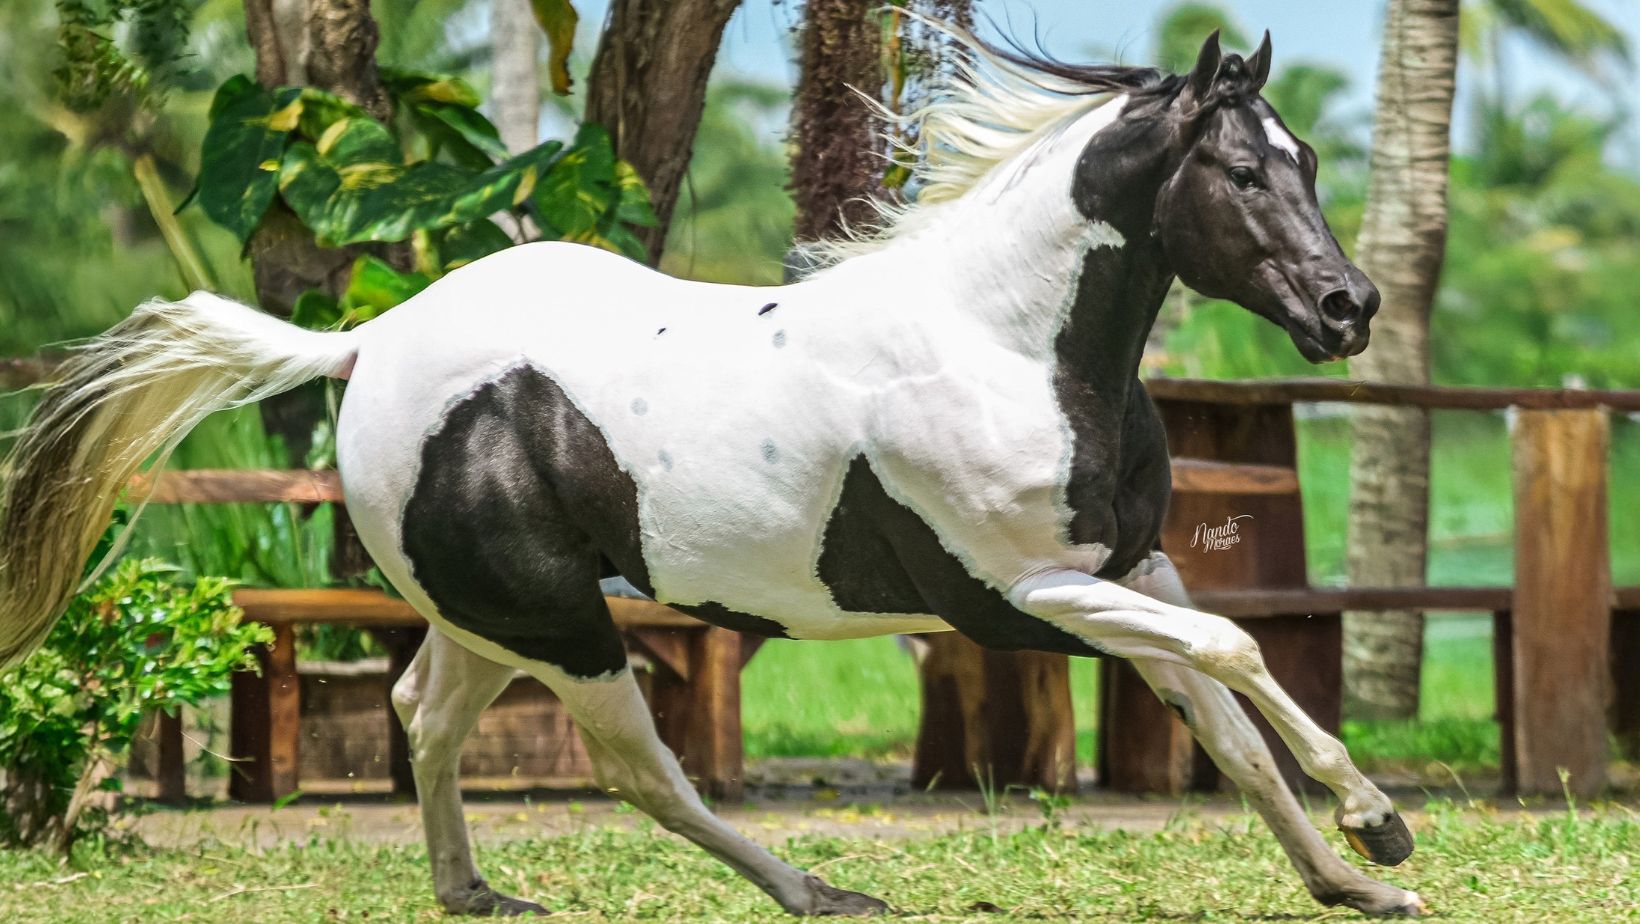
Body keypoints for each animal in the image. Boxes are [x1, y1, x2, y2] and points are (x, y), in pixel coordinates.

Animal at [0, 27, 1425, 918]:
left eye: (1305, 161)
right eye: (1239, 169)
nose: (1346, 308)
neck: (1002, 343)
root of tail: (371, 340)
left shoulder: (1128, 568)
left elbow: (1226, 726)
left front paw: (1353, 881)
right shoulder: (1021, 599)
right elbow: (1239, 655)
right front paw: (1377, 820)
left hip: (498, 614)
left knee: (424, 712)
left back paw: (475, 891)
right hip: (562, 627)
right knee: (641, 771)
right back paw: (821, 890)